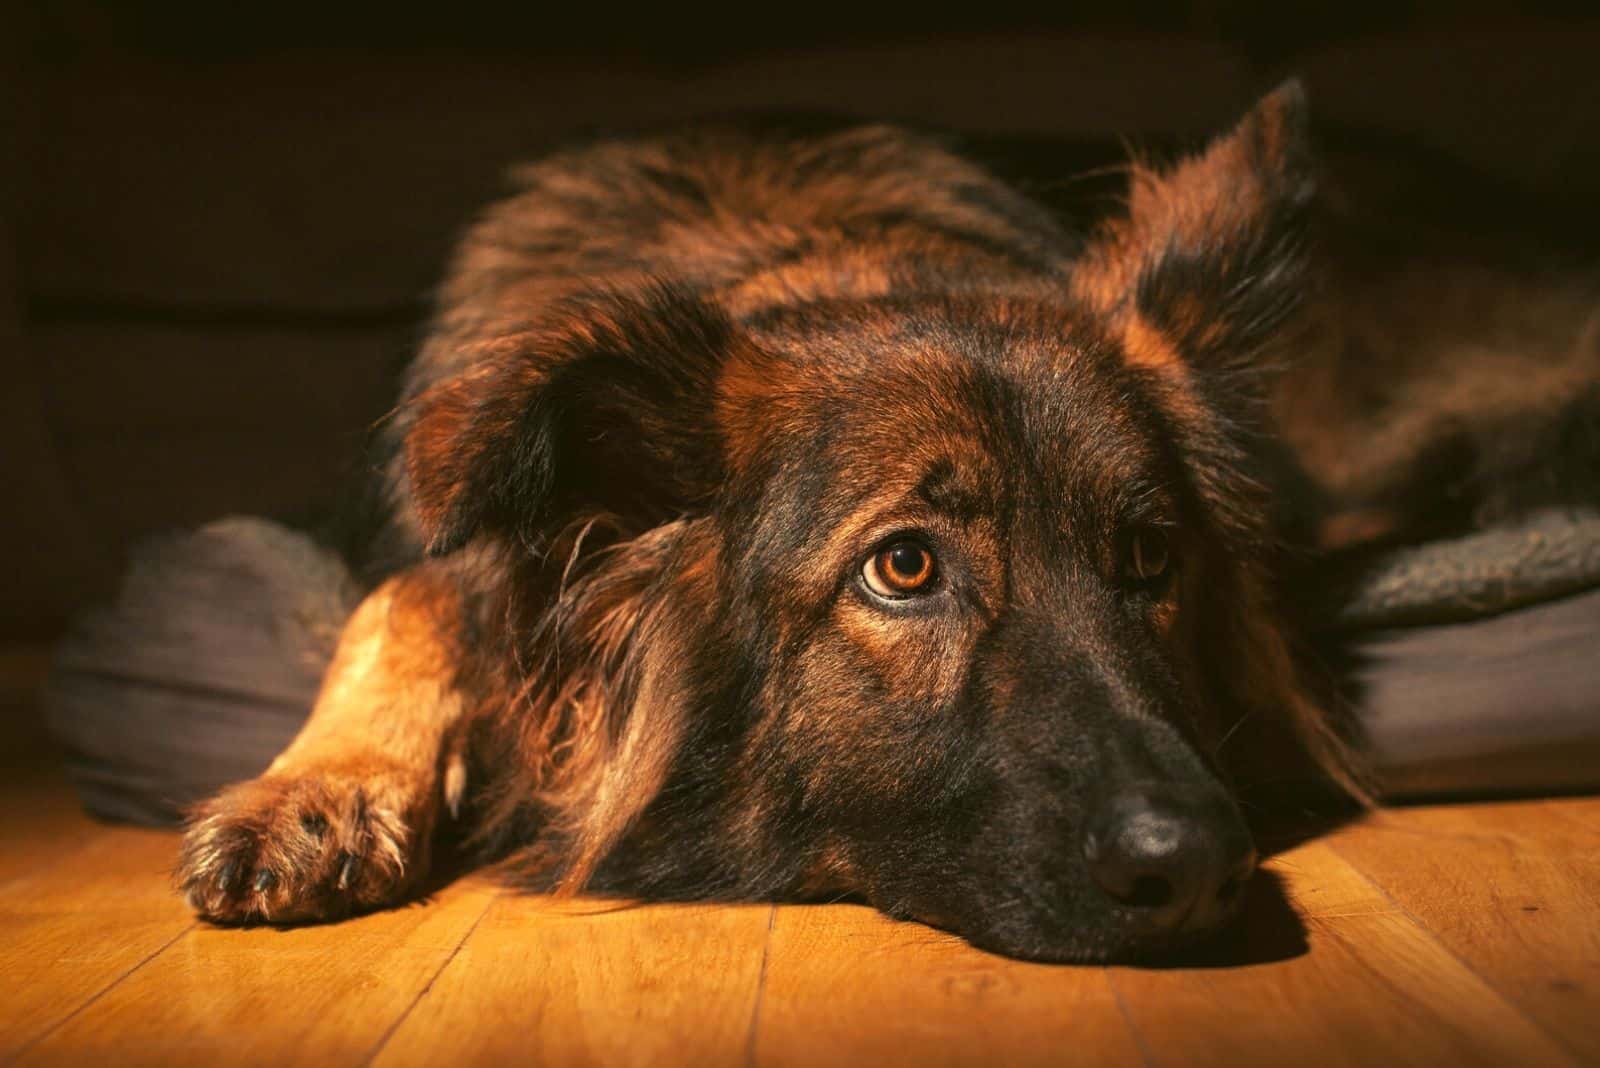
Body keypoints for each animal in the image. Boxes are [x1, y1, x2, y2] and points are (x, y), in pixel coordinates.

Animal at [62, 79, 1600, 965]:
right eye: (903, 568)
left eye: (1148, 559)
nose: (1200, 868)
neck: (817, 252)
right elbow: (414, 592)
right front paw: (317, 789)